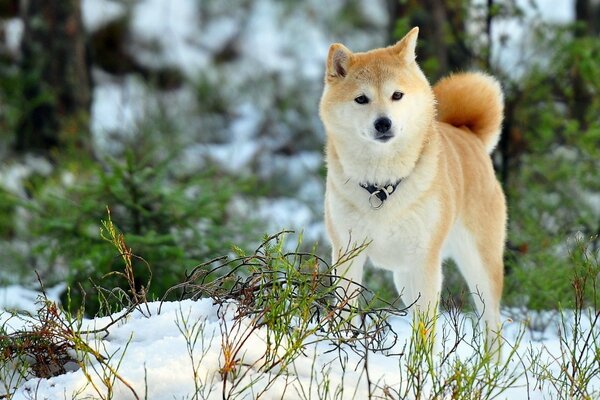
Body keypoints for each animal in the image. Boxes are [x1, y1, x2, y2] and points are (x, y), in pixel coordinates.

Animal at [318, 26, 506, 348]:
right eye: (361, 99)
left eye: (397, 95)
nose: (383, 123)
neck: (381, 186)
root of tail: (469, 134)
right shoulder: (347, 253)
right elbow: (345, 311)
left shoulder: (424, 263)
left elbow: (426, 331)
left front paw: (423, 362)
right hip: (403, 278)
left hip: (479, 267)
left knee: (493, 327)